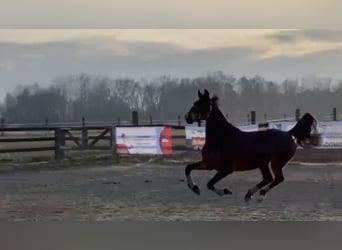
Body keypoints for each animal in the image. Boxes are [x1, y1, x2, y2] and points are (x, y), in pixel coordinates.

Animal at [184, 89, 318, 202]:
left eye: (203, 103)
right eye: (195, 103)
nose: (187, 117)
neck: (222, 138)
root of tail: (288, 133)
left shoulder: (226, 169)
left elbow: (210, 184)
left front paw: (225, 191)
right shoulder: (208, 164)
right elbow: (188, 168)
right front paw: (194, 188)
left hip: (275, 163)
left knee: (277, 179)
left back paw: (259, 195)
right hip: (264, 164)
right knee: (269, 178)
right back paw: (251, 194)